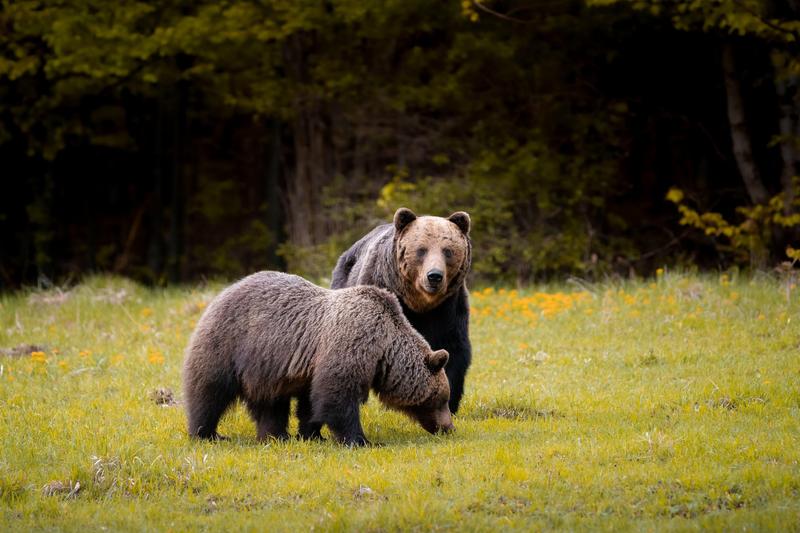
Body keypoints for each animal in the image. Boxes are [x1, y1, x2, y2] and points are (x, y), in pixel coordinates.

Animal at [184, 270, 454, 444]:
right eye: (442, 398)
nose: (448, 427)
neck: (384, 348)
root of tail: (222, 293)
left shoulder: (310, 368)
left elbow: (310, 403)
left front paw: (312, 434)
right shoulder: (350, 343)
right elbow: (337, 396)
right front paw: (361, 440)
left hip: (266, 365)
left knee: (271, 404)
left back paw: (276, 436)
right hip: (228, 344)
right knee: (209, 391)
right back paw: (209, 433)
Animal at [330, 207, 472, 412]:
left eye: (448, 251)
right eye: (421, 250)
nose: (434, 276)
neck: (419, 303)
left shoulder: (448, 307)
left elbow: (452, 348)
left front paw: (449, 401)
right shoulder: (380, 289)